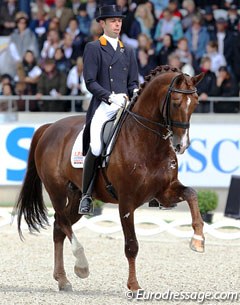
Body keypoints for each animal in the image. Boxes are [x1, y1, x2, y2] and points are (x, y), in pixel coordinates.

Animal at [15, 66, 204, 292]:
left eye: (196, 102)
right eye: (175, 102)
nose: (181, 145)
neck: (148, 141)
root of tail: (50, 127)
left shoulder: (165, 192)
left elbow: (192, 194)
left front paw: (198, 240)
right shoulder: (126, 200)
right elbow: (131, 245)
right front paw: (134, 286)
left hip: (77, 196)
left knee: (59, 228)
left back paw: (62, 279)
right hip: (56, 191)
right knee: (62, 221)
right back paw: (81, 266)